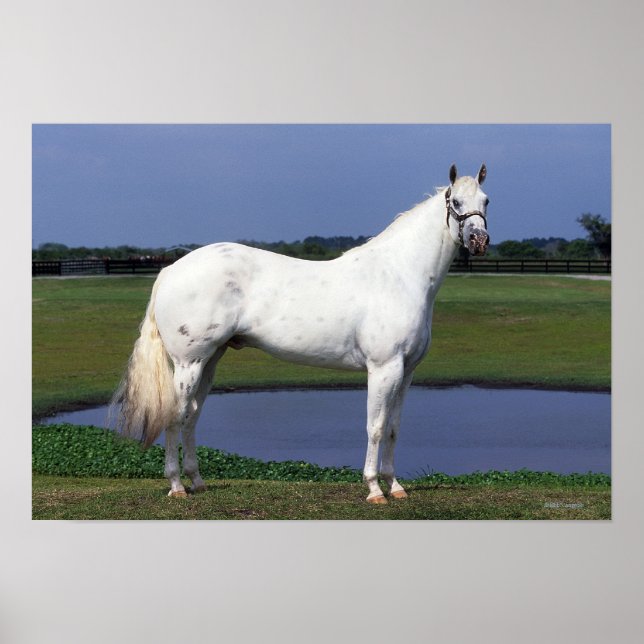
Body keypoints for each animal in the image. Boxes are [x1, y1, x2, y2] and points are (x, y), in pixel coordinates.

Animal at [112, 164, 490, 503]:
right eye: (455, 201)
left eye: (486, 201)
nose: (479, 240)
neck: (398, 275)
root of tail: (170, 270)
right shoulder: (383, 369)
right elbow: (376, 426)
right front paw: (373, 489)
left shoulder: (407, 370)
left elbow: (394, 428)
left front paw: (395, 486)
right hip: (188, 364)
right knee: (175, 416)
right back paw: (177, 486)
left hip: (210, 361)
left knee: (191, 415)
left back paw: (197, 481)